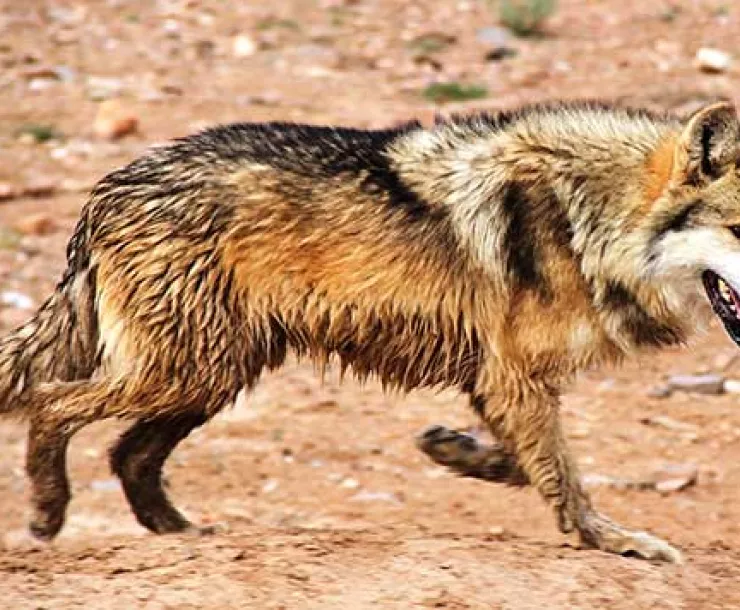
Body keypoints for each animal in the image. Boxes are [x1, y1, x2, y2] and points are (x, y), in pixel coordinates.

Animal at [1, 100, 738, 562]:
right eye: (737, 228)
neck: (592, 220)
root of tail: (106, 192)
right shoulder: (511, 377)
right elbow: (564, 477)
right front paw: (615, 542)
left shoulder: (499, 383)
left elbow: (532, 464)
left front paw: (456, 452)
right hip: (186, 371)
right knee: (51, 402)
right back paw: (48, 512)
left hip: (212, 375)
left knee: (127, 453)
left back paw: (182, 534)